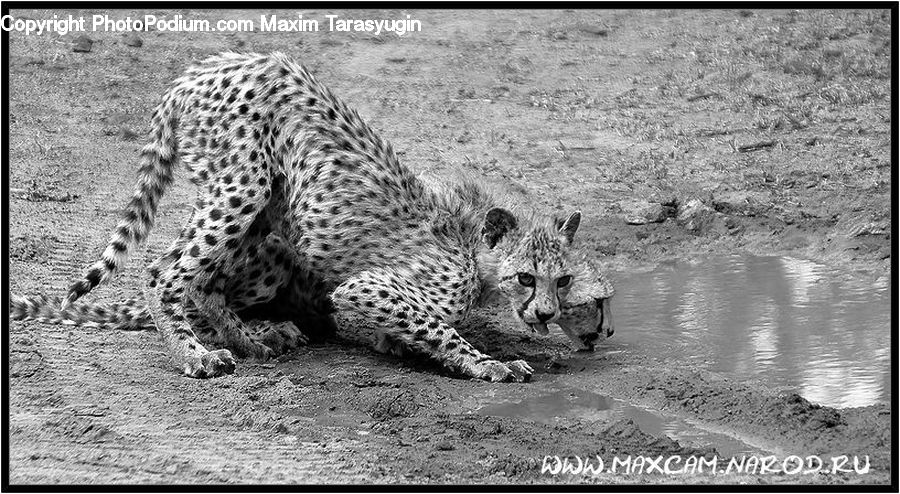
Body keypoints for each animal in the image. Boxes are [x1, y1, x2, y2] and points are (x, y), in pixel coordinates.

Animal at [17, 51, 615, 381]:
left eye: (562, 279)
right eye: (526, 278)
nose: (545, 313)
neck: (478, 256)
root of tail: (205, 65)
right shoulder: (370, 287)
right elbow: (437, 327)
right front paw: (488, 363)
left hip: (270, 211)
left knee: (205, 281)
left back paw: (252, 340)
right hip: (243, 187)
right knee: (165, 270)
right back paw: (195, 355)